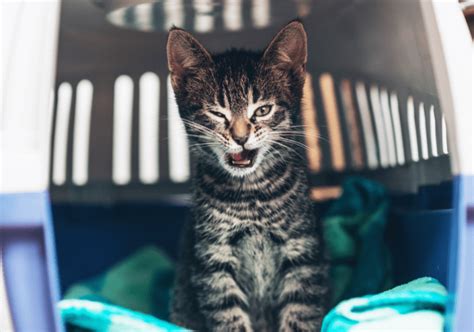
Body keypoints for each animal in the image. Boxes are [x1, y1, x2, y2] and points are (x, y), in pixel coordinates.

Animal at [168, 21, 330, 332]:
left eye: (263, 110)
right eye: (217, 113)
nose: (241, 138)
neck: (251, 193)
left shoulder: (303, 252)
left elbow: (300, 313)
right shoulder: (213, 260)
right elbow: (228, 316)